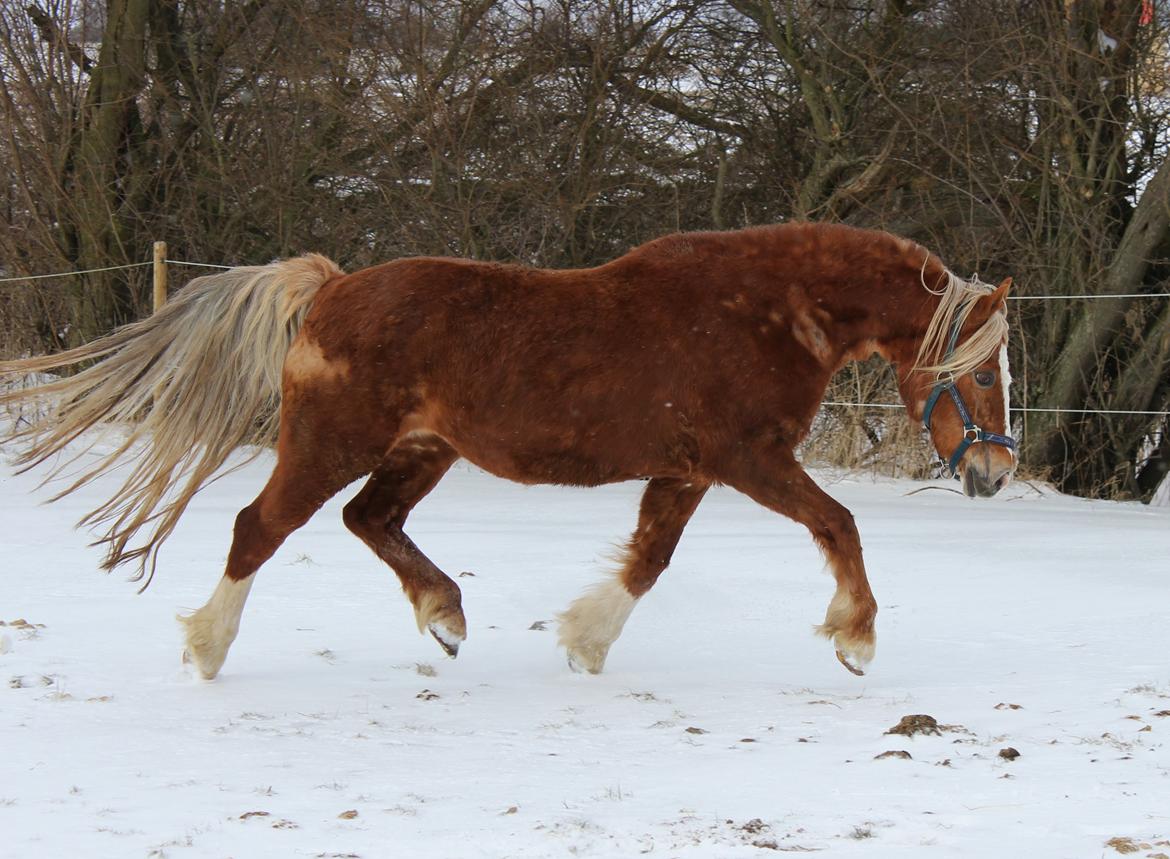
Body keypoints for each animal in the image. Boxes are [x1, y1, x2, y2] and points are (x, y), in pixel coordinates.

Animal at [0, 222, 1015, 678]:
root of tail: (329, 288)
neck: (765, 311)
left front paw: (586, 639)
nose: (994, 473)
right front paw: (857, 636)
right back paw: (209, 649)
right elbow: (838, 522)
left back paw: (445, 614)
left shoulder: (687, 470)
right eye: (985, 372)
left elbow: (649, 559)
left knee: (368, 518)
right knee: (261, 526)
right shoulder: (748, 459)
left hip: (422, 449)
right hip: (334, 440)